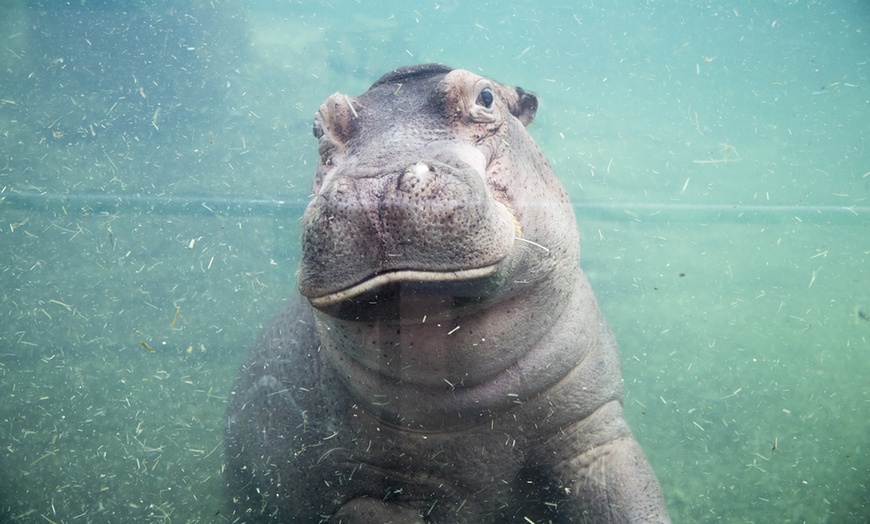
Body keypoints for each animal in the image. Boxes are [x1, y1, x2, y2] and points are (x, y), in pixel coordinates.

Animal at [227, 63, 676, 520]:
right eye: (318, 126)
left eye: (486, 97)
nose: (373, 186)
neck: (469, 400)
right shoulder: (365, 489)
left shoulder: (594, 433)